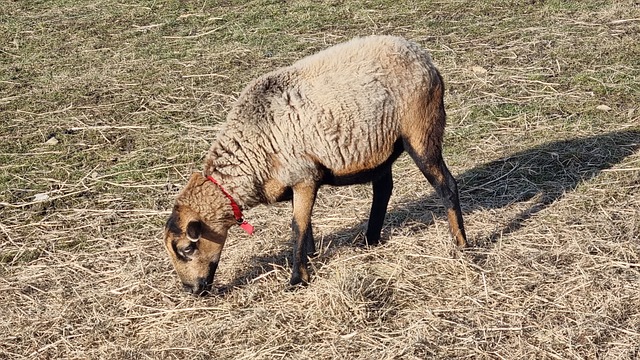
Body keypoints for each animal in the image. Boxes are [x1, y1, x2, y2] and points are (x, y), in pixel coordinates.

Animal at [162, 35, 468, 296]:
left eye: (186, 249)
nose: (191, 290)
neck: (251, 151)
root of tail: (422, 56)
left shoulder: (304, 177)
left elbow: (296, 226)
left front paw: (298, 278)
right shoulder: (294, 184)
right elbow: (305, 224)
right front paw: (310, 257)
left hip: (421, 130)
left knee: (446, 185)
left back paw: (461, 243)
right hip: (381, 148)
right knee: (383, 189)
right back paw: (370, 240)